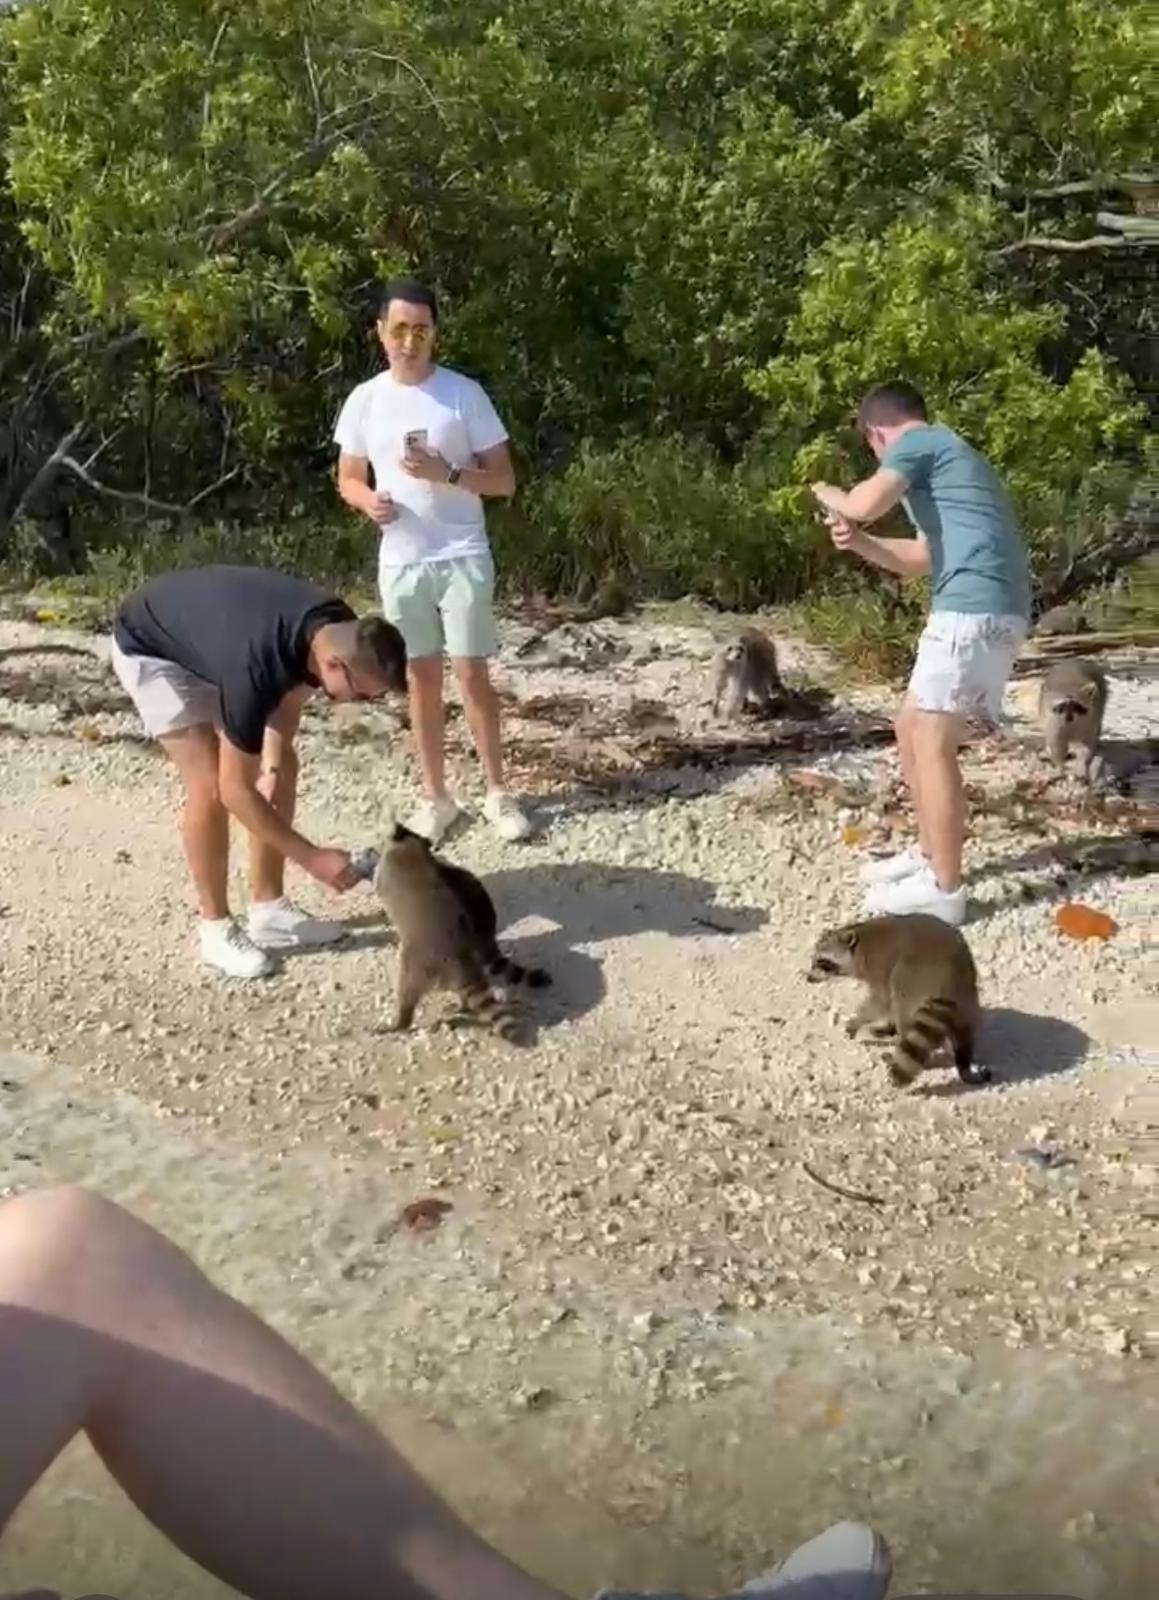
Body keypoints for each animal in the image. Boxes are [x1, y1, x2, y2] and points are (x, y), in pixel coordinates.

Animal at [372, 824, 541, 1041]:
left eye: (403, 828)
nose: (396, 825)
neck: (412, 847)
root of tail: (459, 959)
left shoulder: (386, 871)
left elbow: (378, 883)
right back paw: (462, 1004)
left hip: (418, 963)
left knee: (406, 991)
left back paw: (400, 1021)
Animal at [807, 913, 987, 1087]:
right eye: (814, 961)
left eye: (822, 961)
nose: (808, 979)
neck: (859, 943)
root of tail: (947, 983)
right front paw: (887, 1026)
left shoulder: (878, 966)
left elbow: (880, 1001)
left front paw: (856, 1021)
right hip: (966, 999)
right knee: (964, 1032)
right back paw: (962, 1059)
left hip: (910, 975)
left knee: (900, 1002)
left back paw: (901, 1040)